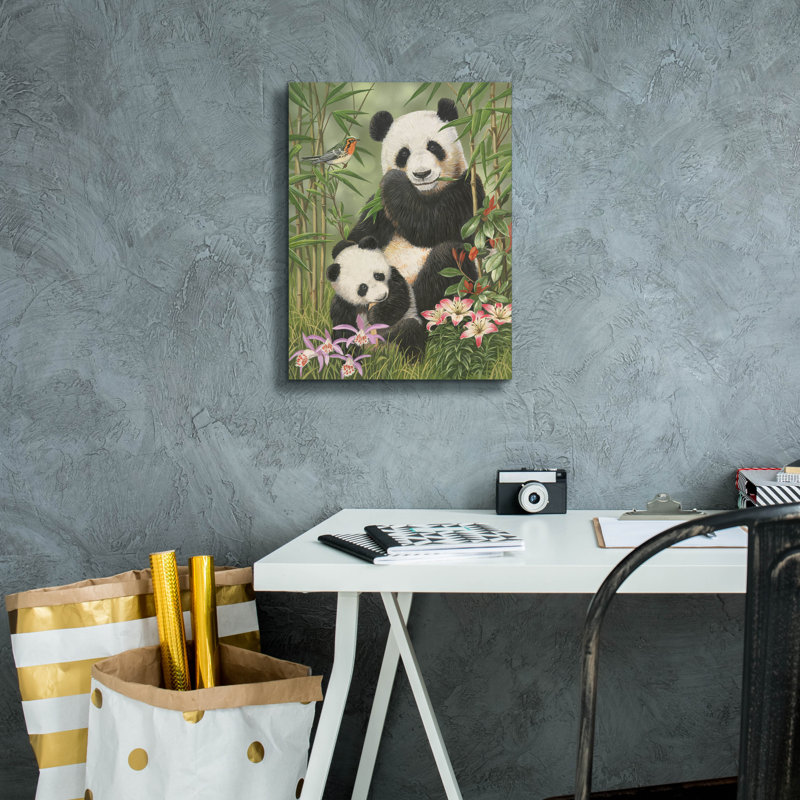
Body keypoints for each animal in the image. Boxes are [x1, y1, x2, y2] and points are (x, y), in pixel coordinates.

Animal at [343, 97, 485, 319]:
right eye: (404, 153)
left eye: (433, 146)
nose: (422, 174)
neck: (424, 193)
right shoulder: (378, 210)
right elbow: (358, 239)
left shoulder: (467, 192)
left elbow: (430, 225)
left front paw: (394, 180)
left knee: (447, 261)